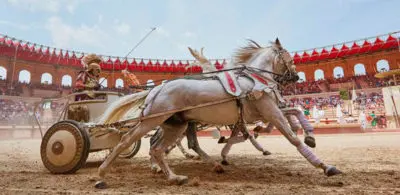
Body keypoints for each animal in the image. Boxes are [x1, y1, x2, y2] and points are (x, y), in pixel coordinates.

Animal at [94, 39, 340, 187]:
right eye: (288, 55)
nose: (296, 77)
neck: (255, 80)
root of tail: (157, 88)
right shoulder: (270, 112)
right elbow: (292, 137)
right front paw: (324, 165)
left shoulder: (261, 114)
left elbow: (294, 112)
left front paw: (309, 135)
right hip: (153, 121)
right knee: (127, 141)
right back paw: (102, 174)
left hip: (176, 124)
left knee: (158, 148)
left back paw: (175, 176)